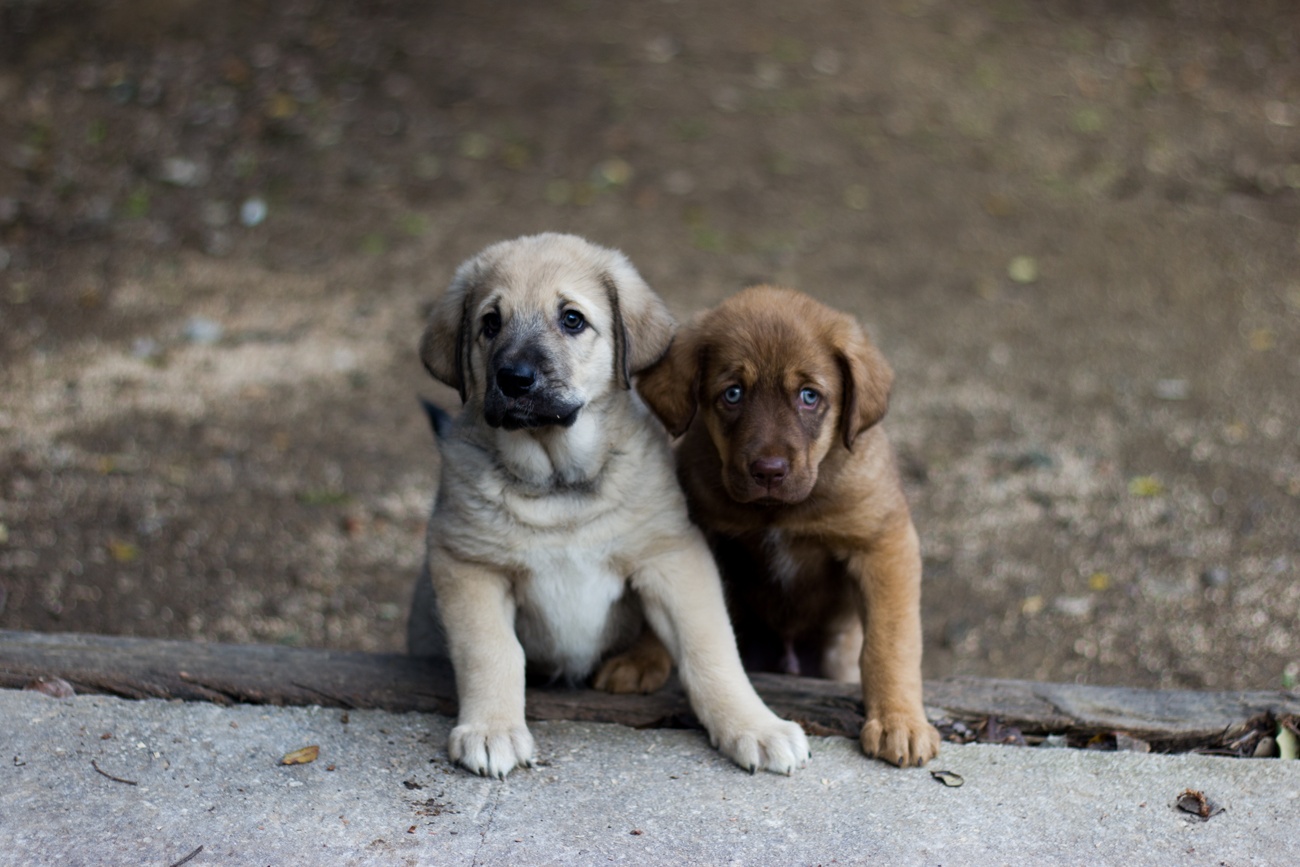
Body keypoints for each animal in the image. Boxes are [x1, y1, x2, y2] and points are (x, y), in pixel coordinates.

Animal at [410, 235, 806, 779]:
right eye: (490, 323)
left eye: (572, 319)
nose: (513, 379)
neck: (559, 486)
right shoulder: (468, 566)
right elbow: (490, 651)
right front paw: (491, 729)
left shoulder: (671, 557)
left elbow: (711, 651)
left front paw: (754, 725)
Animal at [634, 284, 941, 764]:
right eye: (733, 393)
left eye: (809, 396)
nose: (769, 471)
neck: (778, 511)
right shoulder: (686, 532)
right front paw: (640, 658)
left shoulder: (883, 542)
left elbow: (891, 643)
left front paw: (899, 721)